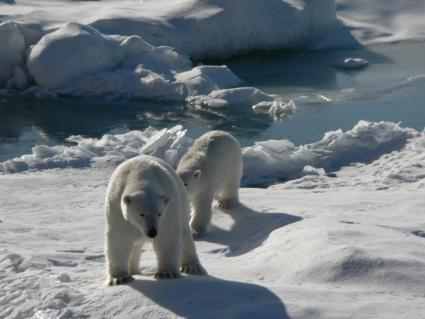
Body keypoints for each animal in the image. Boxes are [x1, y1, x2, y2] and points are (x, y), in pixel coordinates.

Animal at [105, 154, 206, 286]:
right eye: (141, 214)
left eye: (159, 214)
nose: (152, 232)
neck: (140, 175)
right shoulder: (117, 209)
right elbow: (119, 238)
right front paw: (120, 278)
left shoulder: (169, 210)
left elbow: (166, 236)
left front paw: (166, 273)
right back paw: (134, 271)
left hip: (182, 201)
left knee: (184, 233)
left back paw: (191, 266)